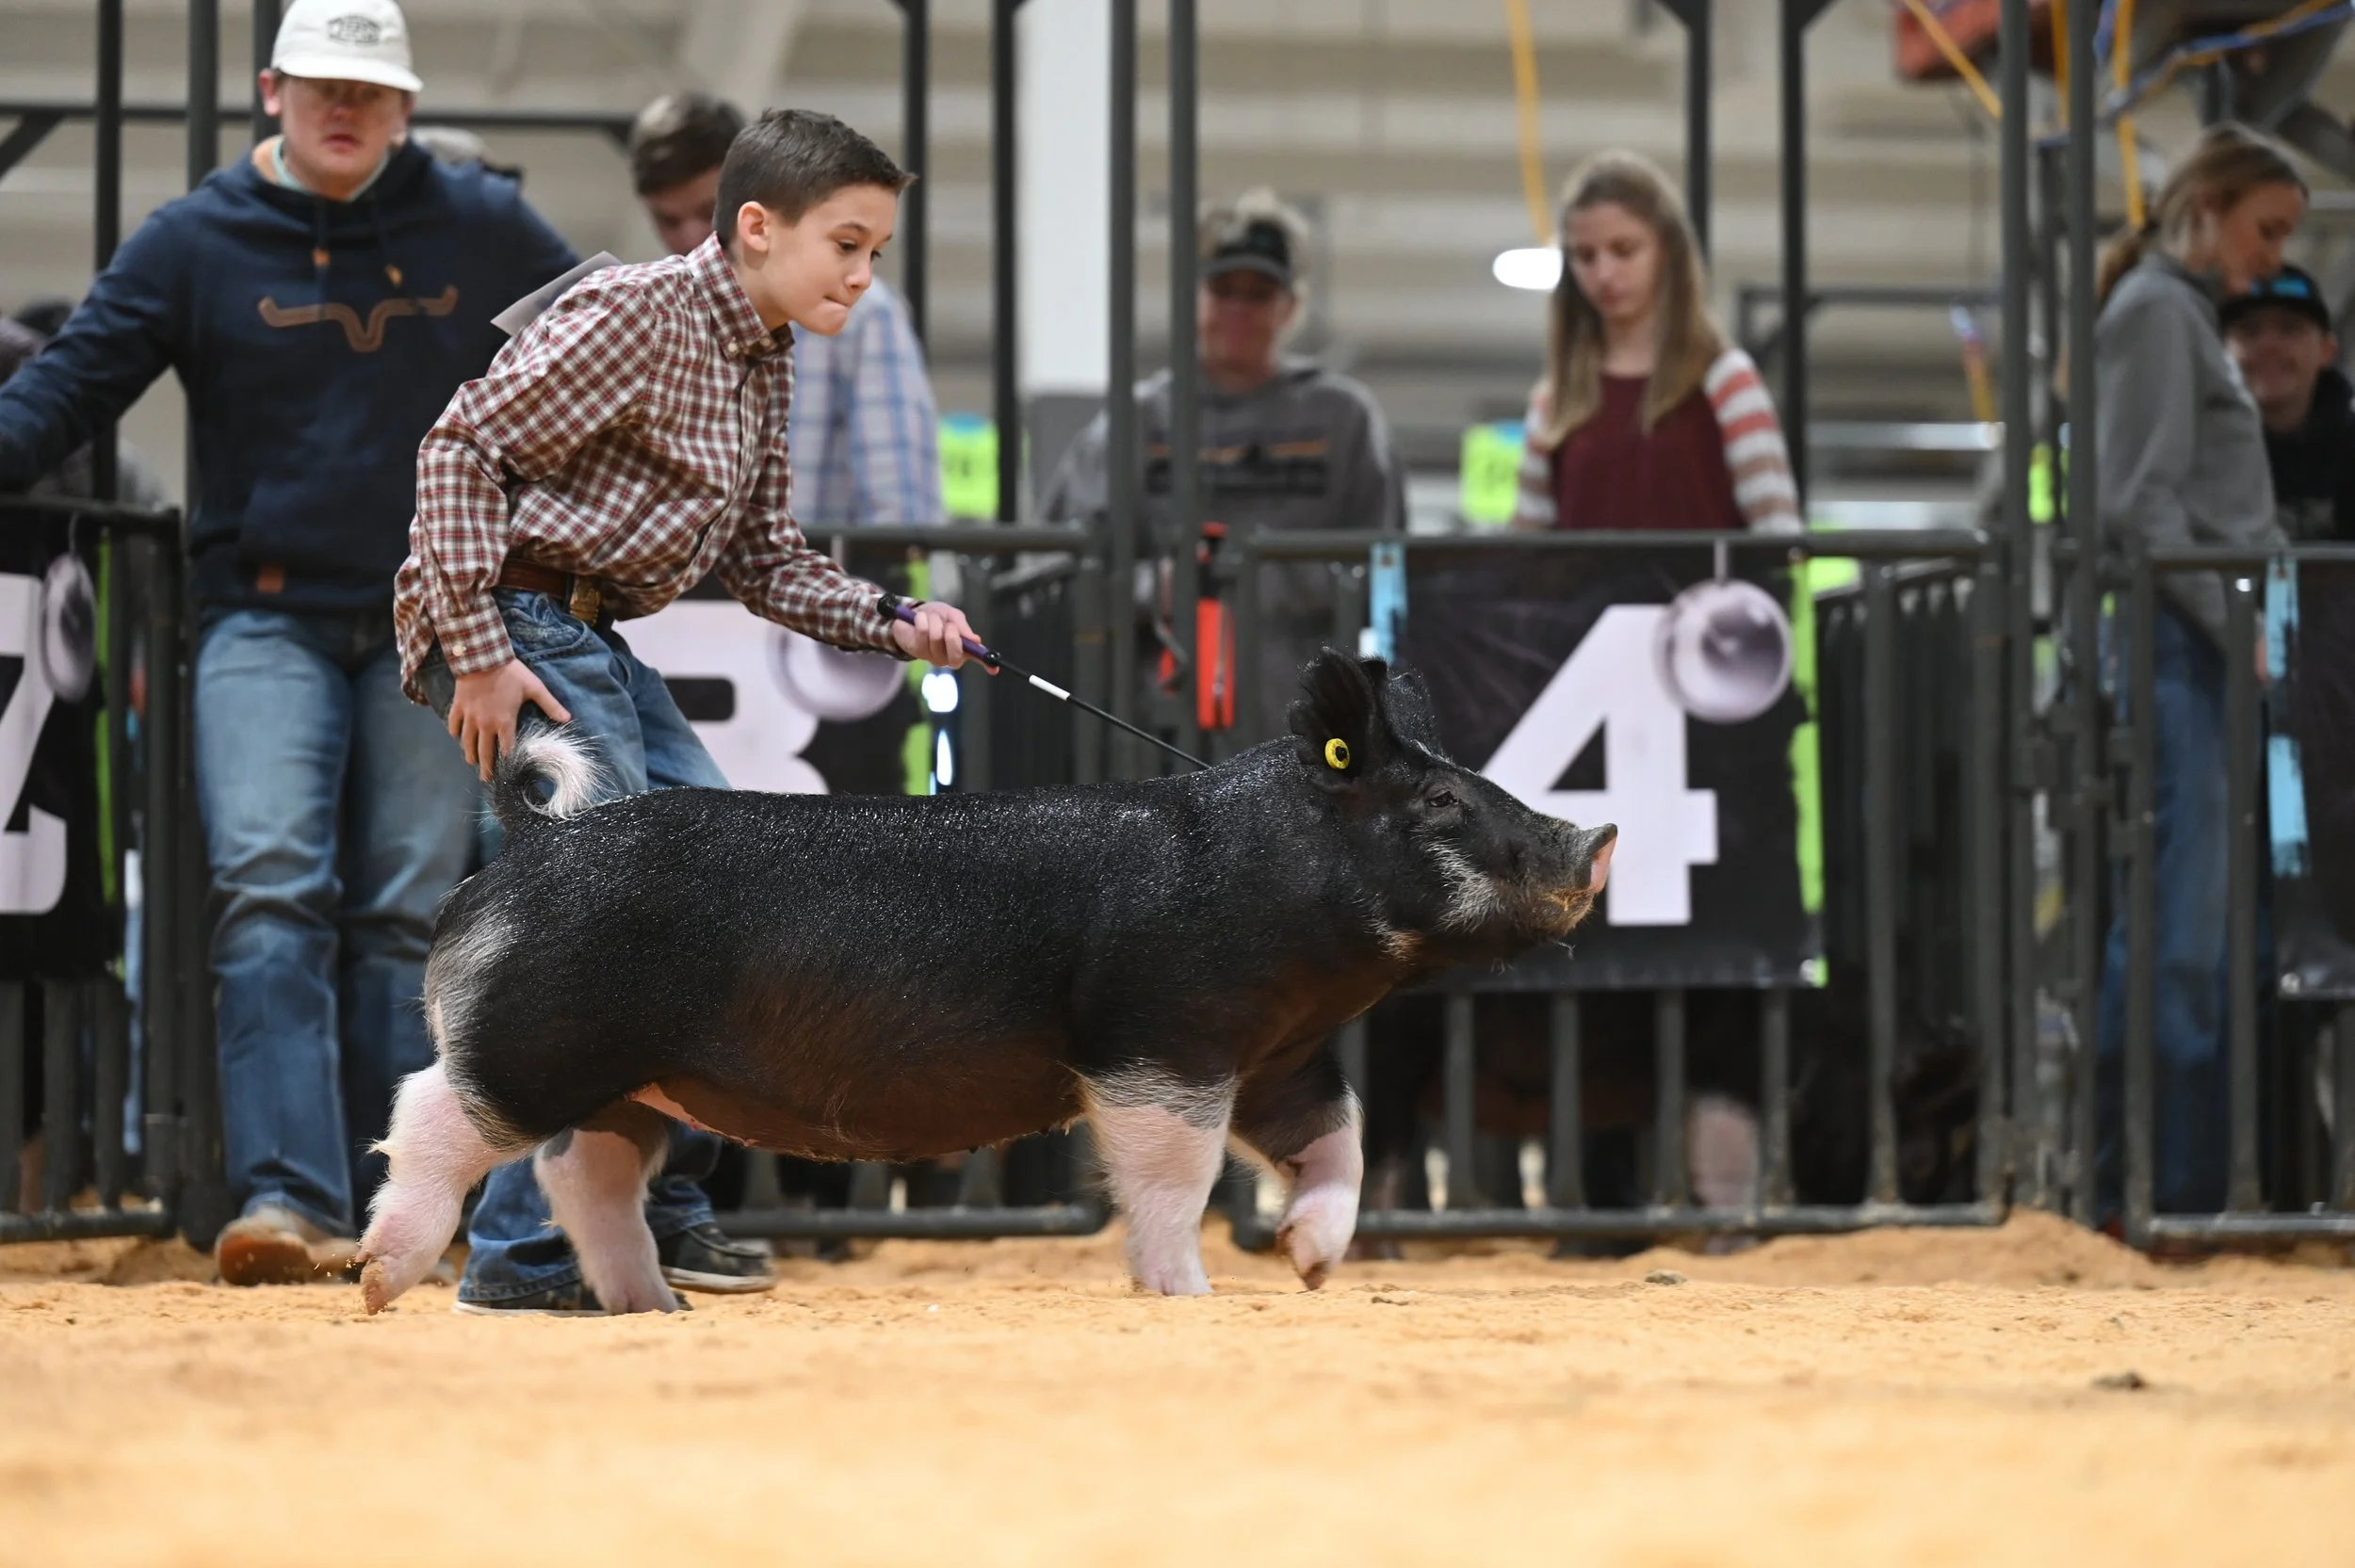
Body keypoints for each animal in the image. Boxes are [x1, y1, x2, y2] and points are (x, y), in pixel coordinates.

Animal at [356, 651, 1614, 1313]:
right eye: (1440, 803)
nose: (1595, 837)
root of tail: (533, 846)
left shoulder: (1274, 1056)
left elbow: (1334, 1141)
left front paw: (1310, 1266)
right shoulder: (1156, 1037)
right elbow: (1175, 1176)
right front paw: (1185, 1296)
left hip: (627, 1079)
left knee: (587, 1175)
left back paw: (653, 1307)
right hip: (541, 1035)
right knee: (435, 1110)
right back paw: (377, 1277)